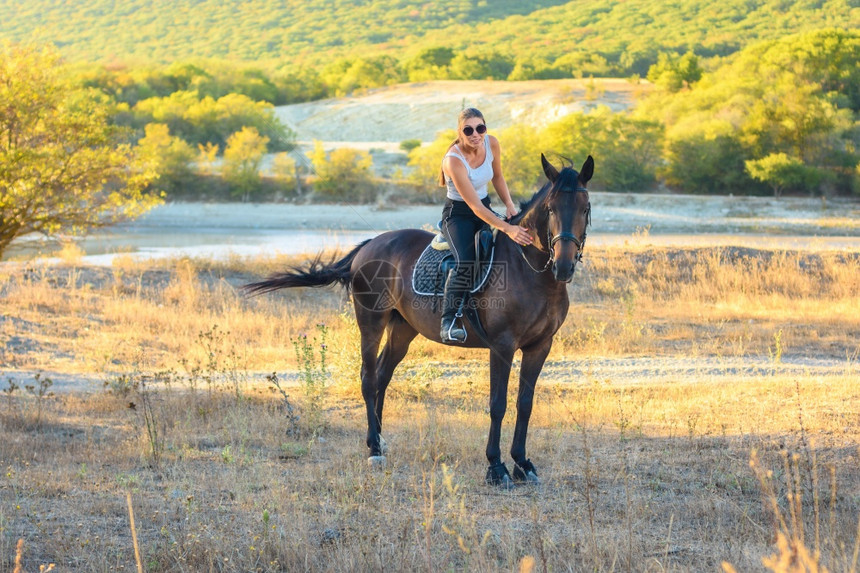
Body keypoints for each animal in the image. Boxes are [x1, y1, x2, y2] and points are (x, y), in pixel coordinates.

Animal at [244, 155, 592, 488]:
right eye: (551, 209)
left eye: (585, 207)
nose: (563, 266)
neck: (531, 272)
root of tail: (369, 245)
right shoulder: (502, 346)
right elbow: (498, 404)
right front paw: (496, 468)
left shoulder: (539, 346)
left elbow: (525, 403)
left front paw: (523, 464)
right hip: (371, 321)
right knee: (368, 377)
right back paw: (374, 451)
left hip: (403, 329)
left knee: (382, 375)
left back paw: (378, 440)